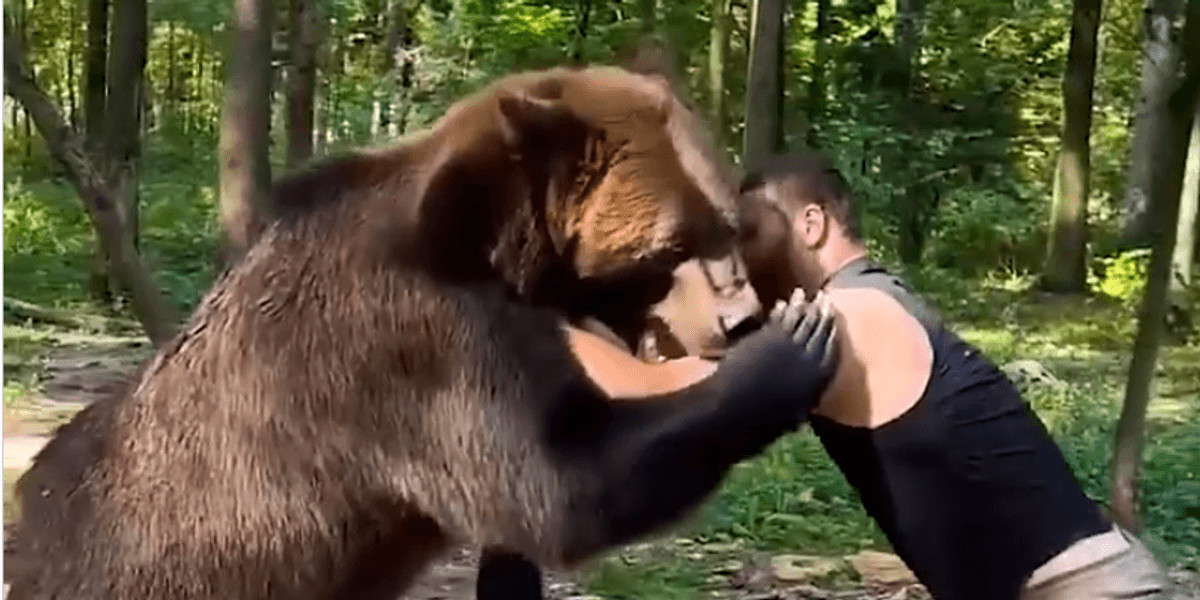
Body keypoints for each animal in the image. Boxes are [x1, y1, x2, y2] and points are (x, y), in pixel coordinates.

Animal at [7, 65, 833, 600]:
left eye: (726, 222)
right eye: (670, 244)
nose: (737, 318)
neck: (497, 251)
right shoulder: (412, 346)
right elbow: (558, 483)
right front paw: (792, 352)